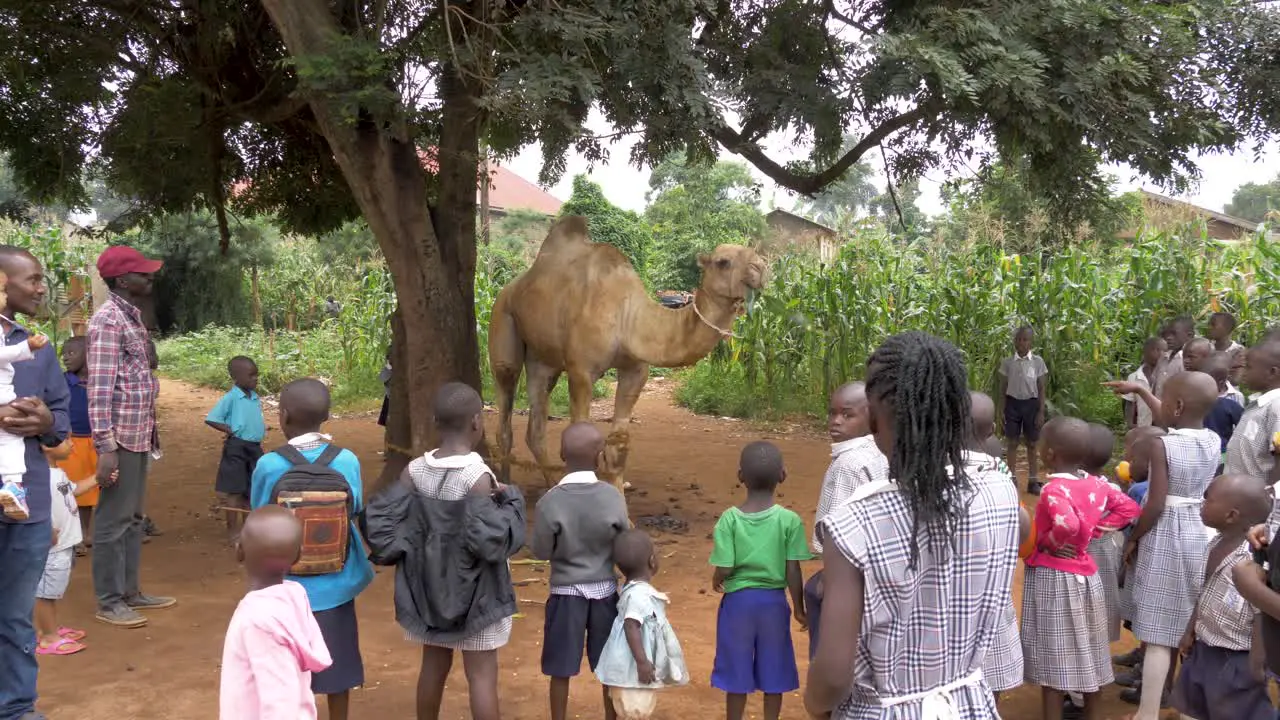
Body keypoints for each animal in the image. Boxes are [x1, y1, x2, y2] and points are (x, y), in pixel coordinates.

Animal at [488, 213, 762, 491]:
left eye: (756, 255)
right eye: (723, 261)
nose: (761, 268)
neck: (628, 315)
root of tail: (511, 287)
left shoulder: (635, 370)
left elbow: (617, 447)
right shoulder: (581, 371)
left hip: (543, 360)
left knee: (536, 421)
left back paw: (552, 482)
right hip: (502, 319)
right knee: (505, 400)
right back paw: (504, 484)